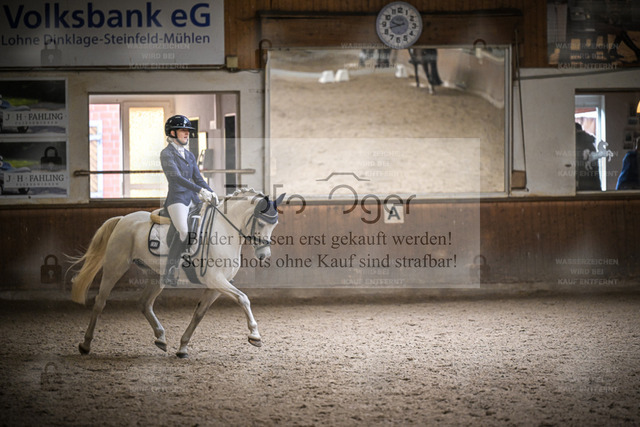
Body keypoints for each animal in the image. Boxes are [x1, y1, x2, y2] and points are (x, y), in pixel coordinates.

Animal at [70, 188, 285, 358]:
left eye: (274, 225)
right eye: (261, 224)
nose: (264, 255)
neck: (224, 231)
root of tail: (123, 219)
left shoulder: (216, 285)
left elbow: (199, 313)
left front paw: (182, 348)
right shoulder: (216, 279)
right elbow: (243, 298)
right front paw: (255, 335)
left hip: (157, 276)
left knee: (144, 303)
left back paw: (161, 338)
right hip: (115, 267)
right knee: (100, 302)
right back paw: (85, 345)